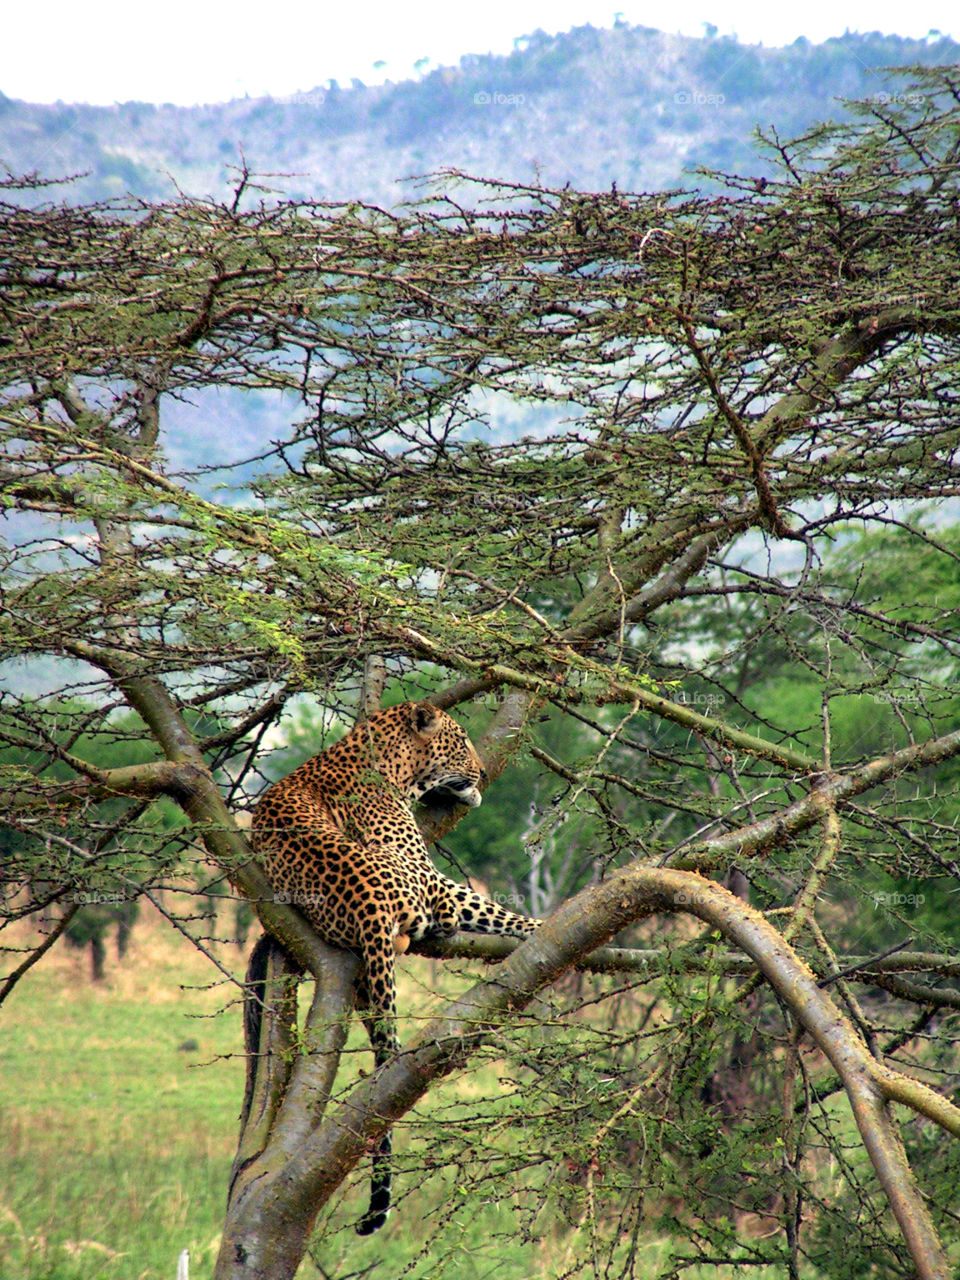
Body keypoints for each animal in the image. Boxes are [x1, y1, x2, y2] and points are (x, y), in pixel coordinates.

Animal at [248, 701, 542, 1228]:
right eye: (460, 741)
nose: (483, 772)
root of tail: (370, 907)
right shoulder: (433, 878)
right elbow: (499, 912)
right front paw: (549, 923)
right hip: (428, 891)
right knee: (472, 916)